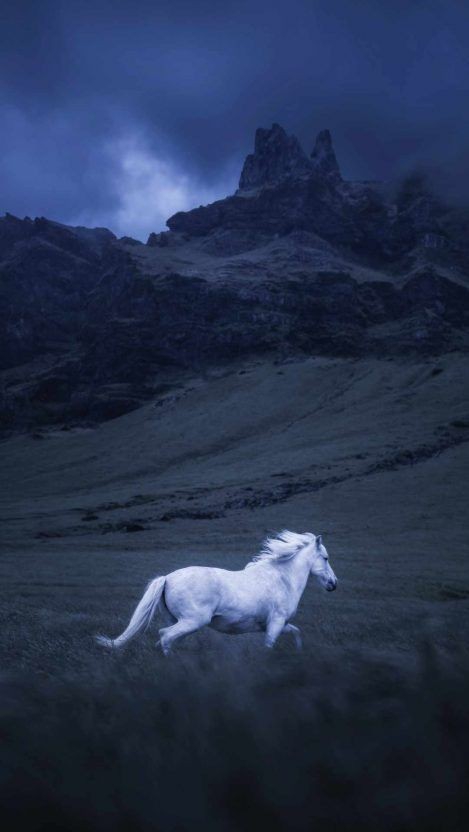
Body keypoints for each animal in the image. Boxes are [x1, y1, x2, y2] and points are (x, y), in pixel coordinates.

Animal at [96, 530, 338, 654]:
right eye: (325, 558)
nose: (333, 584)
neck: (282, 579)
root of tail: (167, 578)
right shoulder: (276, 623)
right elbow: (269, 646)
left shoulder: (275, 624)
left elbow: (296, 632)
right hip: (193, 621)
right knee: (165, 636)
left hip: (179, 620)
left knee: (166, 638)